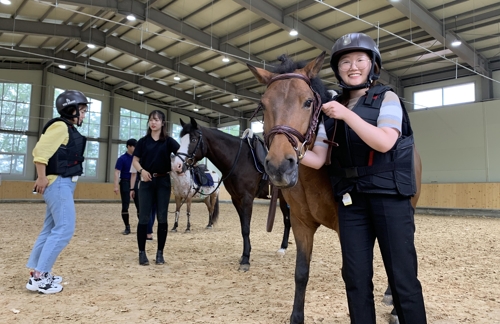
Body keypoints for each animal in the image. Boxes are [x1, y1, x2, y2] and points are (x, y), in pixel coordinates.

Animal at [248, 52, 420, 322]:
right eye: (264, 105)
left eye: (308, 102)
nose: (279, 166)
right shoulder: (301, 224)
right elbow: (301, 273)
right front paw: (296, 317)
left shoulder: (344, 226)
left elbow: (351, 273)